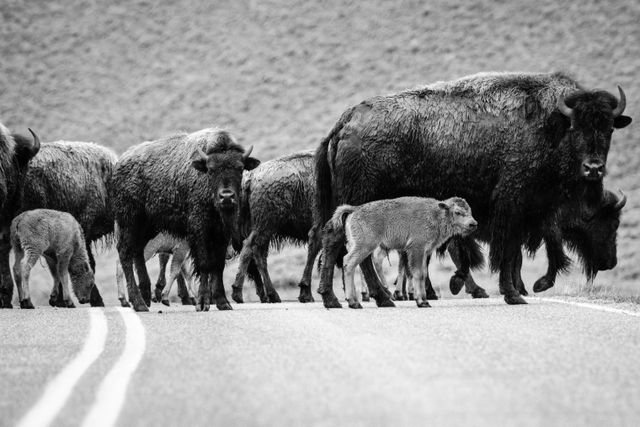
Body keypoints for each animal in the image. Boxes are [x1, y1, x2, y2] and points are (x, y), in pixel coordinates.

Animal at [112, 127, 260, 310]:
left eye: (240, 169)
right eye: (211, 170)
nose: (226, 197)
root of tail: (120, 163)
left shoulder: (221, 234)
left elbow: (217, 267)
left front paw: (223, 303)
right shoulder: (199, 231)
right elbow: (204, 264)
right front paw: (202, 303)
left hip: (148, 227)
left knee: (137, 253)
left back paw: (144, 297)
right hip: (130, 222)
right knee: (125, 254)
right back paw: (138, 303)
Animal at [330, 196, 476, 310]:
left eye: (470, 210)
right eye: (457, 212)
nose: (473, 224)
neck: (436, 214)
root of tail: (355, 209)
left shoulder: (424, 252)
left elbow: (423, 274)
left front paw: (423, 300)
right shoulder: (416, 249)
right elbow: (418, 273)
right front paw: (422, 302)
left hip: (358, 245)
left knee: (350, 263)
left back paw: (355, 302)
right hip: (365, 246)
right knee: (349, 263)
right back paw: (354, 303)